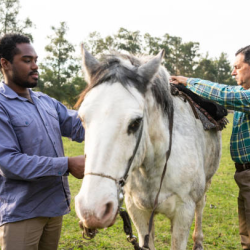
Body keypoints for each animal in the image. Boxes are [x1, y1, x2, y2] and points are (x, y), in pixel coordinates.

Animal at [74, 47, 221, 250]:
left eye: (136, 122)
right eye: (81, 119)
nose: (92, 210)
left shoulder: (184, 212)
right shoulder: (137, 211)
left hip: (206, 182)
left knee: (202, 204)